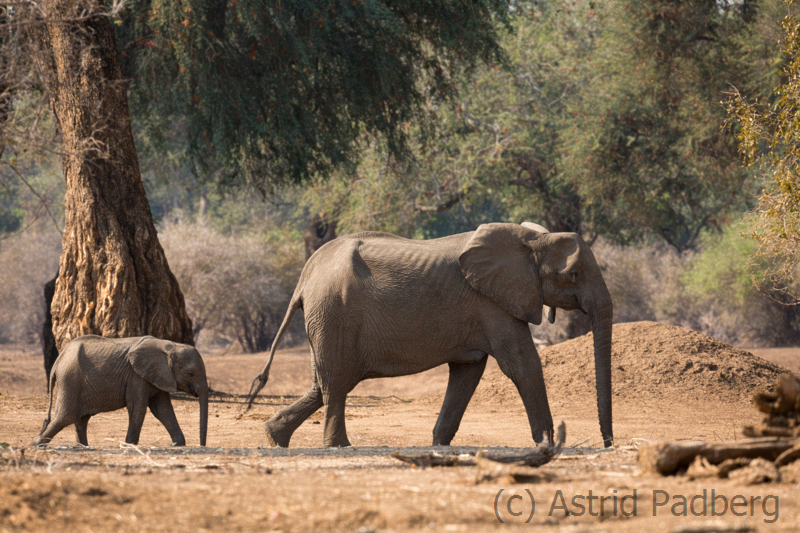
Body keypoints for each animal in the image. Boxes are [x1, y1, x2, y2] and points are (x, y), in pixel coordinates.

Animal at [31, 336, 209, 444]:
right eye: (190, 374)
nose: (202, 446)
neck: (169, 345)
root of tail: (59, 359)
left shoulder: (158, 376)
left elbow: (162, 409)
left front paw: (177, 444)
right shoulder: (136, 375)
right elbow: (138, 407)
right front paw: (129, 445)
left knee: (80, 419)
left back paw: (83, 446)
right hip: (70, 378)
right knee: (66, 416)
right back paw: (36, 443)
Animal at [247, 222, 616, 446]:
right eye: (574, 274)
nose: (608, 444)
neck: (531, 239)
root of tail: (306, 275)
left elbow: (468, 372)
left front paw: (439, 444)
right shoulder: (492, 303)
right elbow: (522, 365)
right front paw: (548, 445)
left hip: (325, 318)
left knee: (324, 383)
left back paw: (273, 436)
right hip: (334, 313)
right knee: (336, 382)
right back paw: (340, 447)